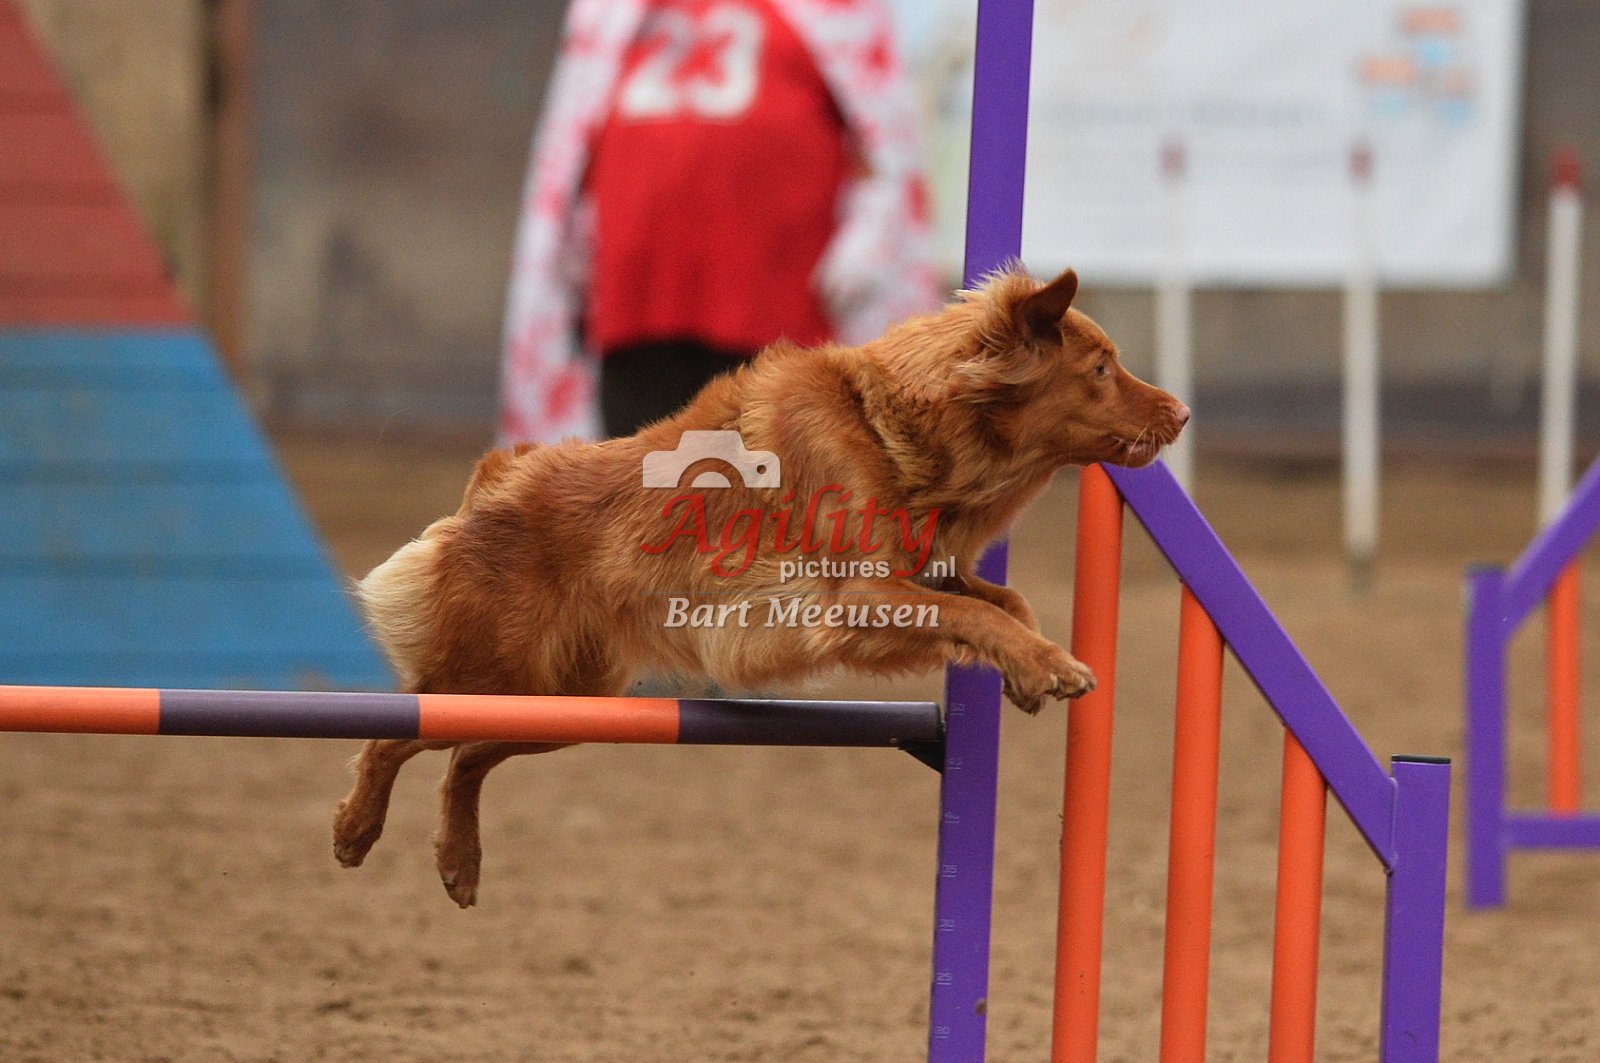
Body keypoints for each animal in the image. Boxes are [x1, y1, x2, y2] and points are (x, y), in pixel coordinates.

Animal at [333, 266, 1188, 906]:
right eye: (1101, 369)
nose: (1181, 412)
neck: (895, 431)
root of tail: (498, 476)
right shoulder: (852, 599)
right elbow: (974, 613)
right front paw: (1050, 664)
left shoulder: (918, 576)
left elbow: (1001, 602)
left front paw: (1029, 667)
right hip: (493, 675)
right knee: (396, 732)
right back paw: (356, 827)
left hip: (563, 700)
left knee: (466, 757)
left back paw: (458, 859)